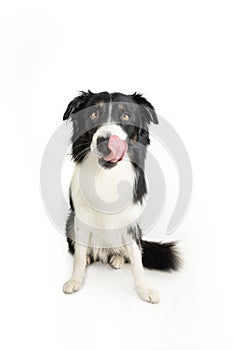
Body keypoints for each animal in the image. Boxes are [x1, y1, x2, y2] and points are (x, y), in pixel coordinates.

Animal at [62, 91, 180, 304]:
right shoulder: (80, 219)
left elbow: (137, 260)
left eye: (126, 116)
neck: (107, 174)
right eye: (93, 115)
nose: (105, 143)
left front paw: (145, 289)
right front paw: (75, 279)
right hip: (69, 222)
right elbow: (79, 255)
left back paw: (116, 258)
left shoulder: (131, 222)